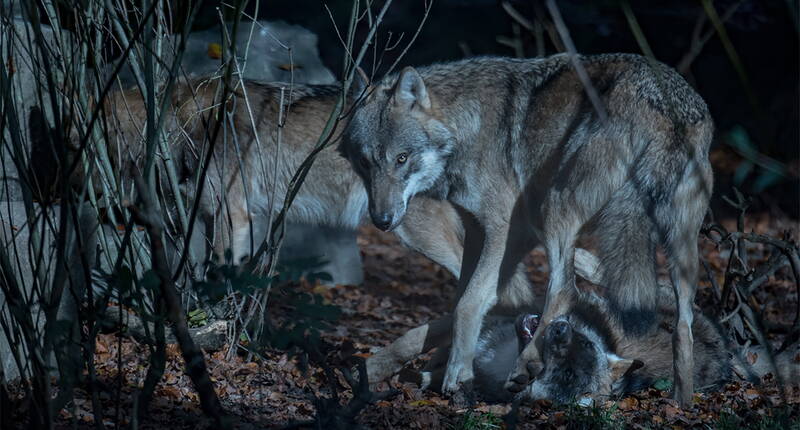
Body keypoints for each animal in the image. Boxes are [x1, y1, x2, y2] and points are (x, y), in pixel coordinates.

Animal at [340, 53, 716, 406]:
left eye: (402, 158)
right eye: (365, 162)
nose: (382, 220)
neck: (465, 128)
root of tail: (663, 104)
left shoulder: (505, 229)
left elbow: (468, 304)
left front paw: (457, 374)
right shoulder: (485, 233)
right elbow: (463, 307)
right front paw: (374, 369)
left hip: (556, 208)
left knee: (565, 289)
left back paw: (527, 361)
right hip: (680, 248)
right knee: (683, 326)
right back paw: (682, 402)